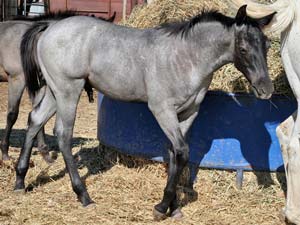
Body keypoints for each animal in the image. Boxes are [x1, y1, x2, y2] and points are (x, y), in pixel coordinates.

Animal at [0, 11, 115, 162]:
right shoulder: (16, 79)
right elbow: (12, 114)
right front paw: (5, 152)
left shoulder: (41, 84)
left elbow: (36, 114)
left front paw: (44, 152)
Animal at [16, 5, 274, 221]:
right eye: (243, 49)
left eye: (267, 46)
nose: (266, 90)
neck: (186, 57)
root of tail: (50, 27)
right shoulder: (162, 109)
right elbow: (182, 152)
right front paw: (161, 207)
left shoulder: (188, 113)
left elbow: (174, 153)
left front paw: (174, 208)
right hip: (68, 89)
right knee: (63, 135)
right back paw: (84, 196)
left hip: (54, 91)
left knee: (35, 120)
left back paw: (20, 180)